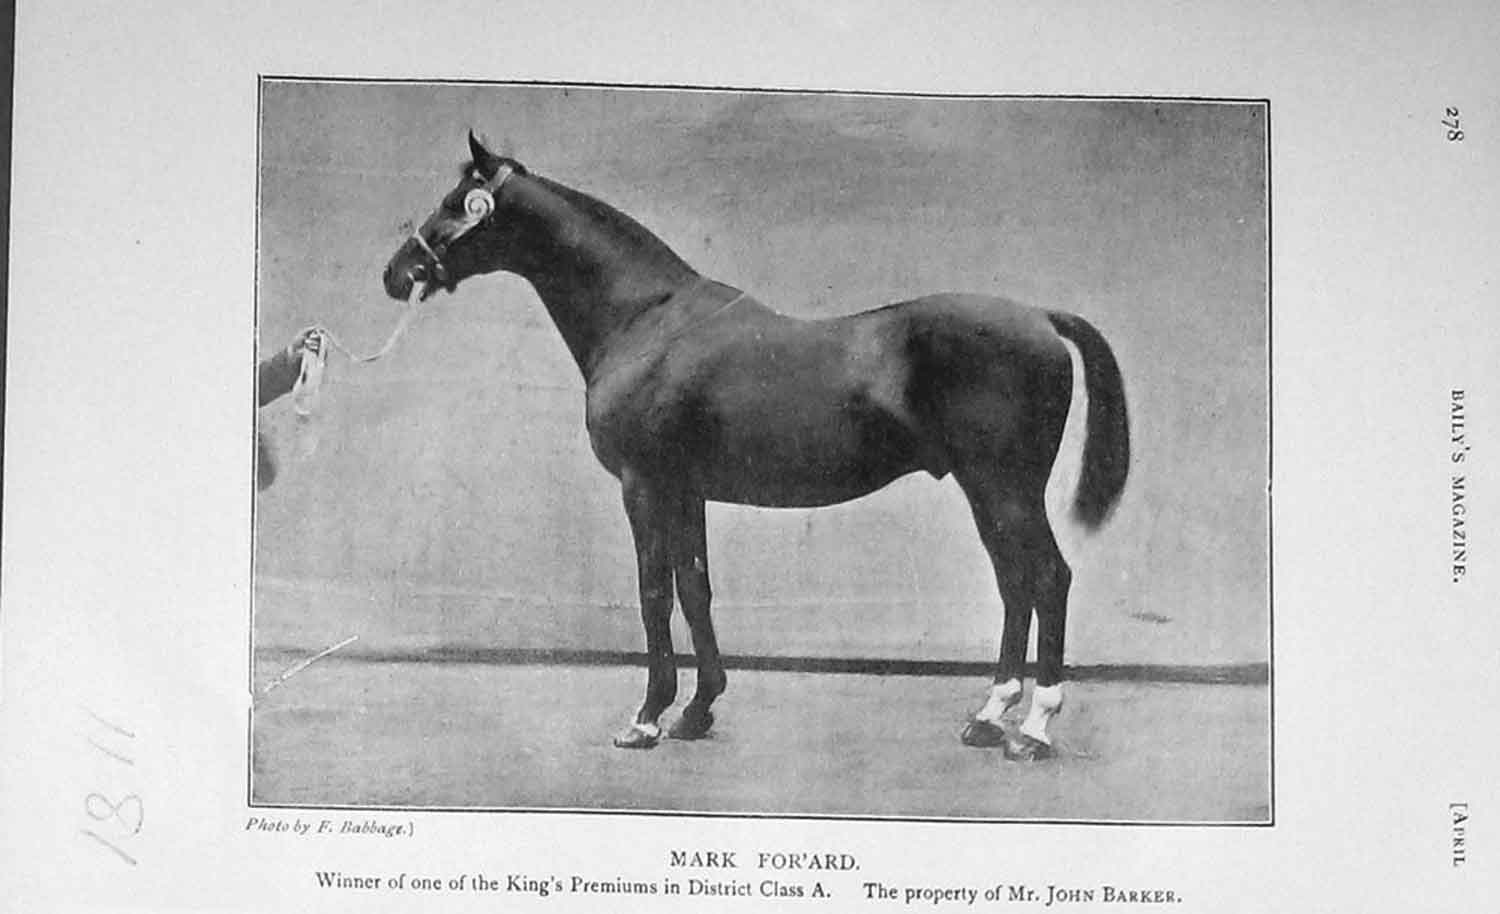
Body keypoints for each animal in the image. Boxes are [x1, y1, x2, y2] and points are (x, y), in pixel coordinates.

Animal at [381, 132, 1130, 761]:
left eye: (456, 203)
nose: (396, 272)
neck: (645, 319)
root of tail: (1041, 319)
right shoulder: (685, 490)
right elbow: (695, 589)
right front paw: (697, 711)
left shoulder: (643, 484)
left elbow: (653, 592)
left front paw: (646, 719)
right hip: (988, 491)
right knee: (1014, 584)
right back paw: (988, 717)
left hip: (1005, 487)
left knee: (1047, 578)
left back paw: (1034, 729)